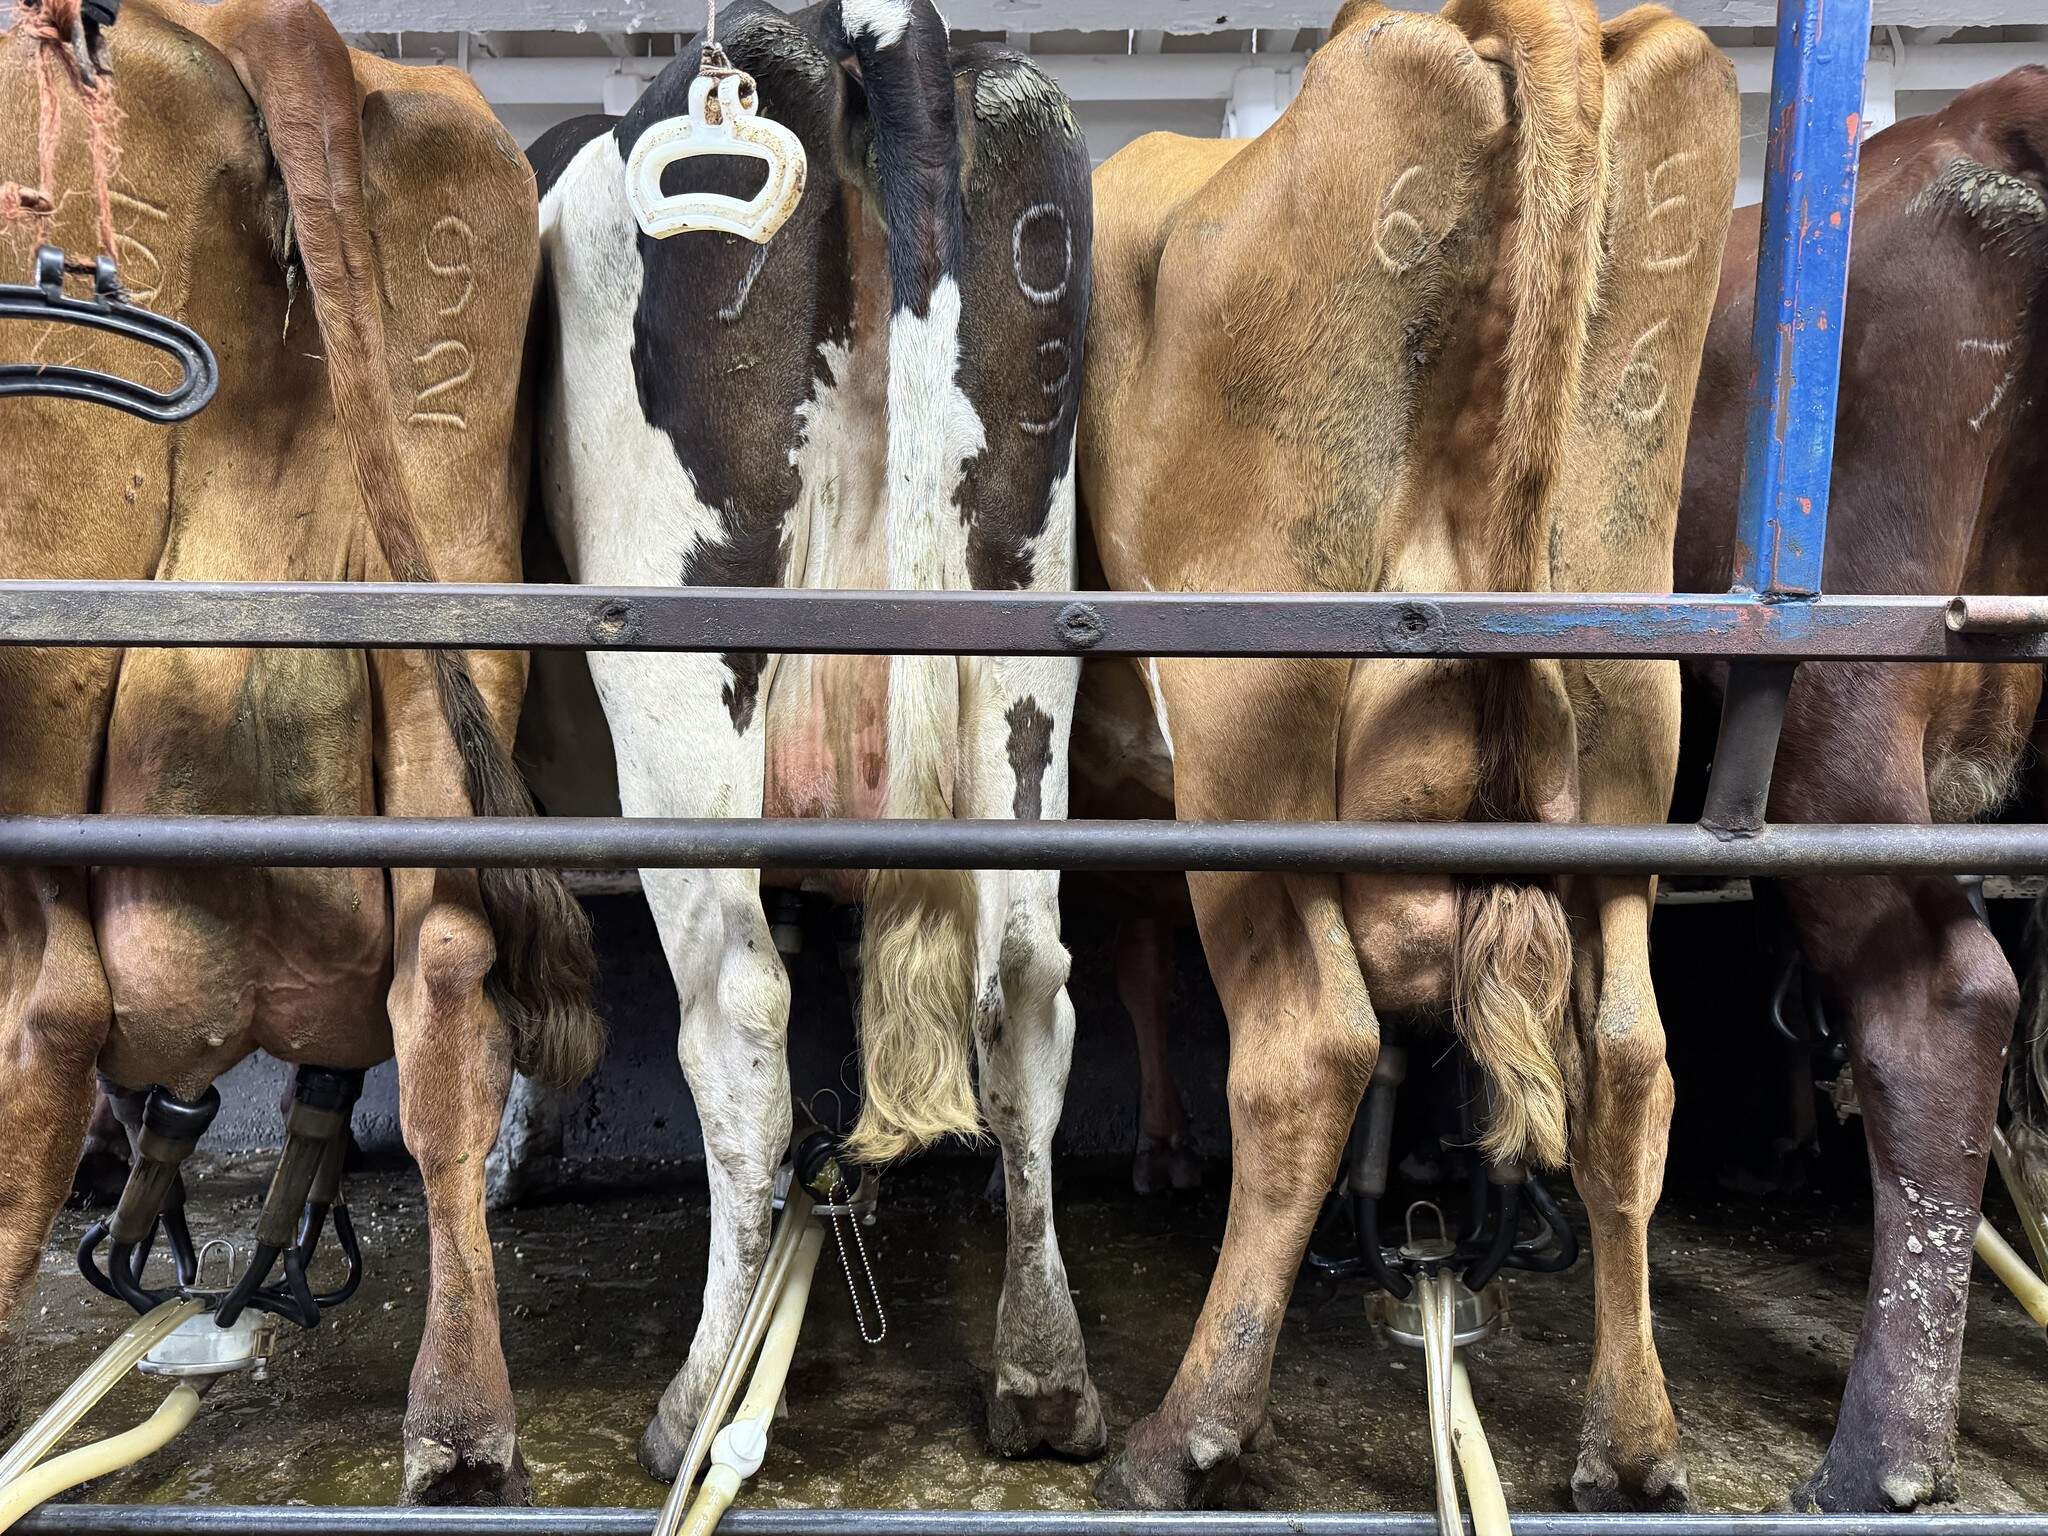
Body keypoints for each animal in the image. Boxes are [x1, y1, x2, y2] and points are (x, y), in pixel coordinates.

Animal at [527, 0, 1101, 1477]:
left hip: (679, 668)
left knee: (737, 1012)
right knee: (1024, 980)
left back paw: (699, 1398)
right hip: (1024, 606)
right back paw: (1045, 1376)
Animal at [1078, 0, 1737, 1507]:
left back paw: (1185, 1429)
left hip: (1248, 728)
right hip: (1632, 717)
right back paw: (1634, 1440)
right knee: (1630, 1063)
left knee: (1310, 1046)